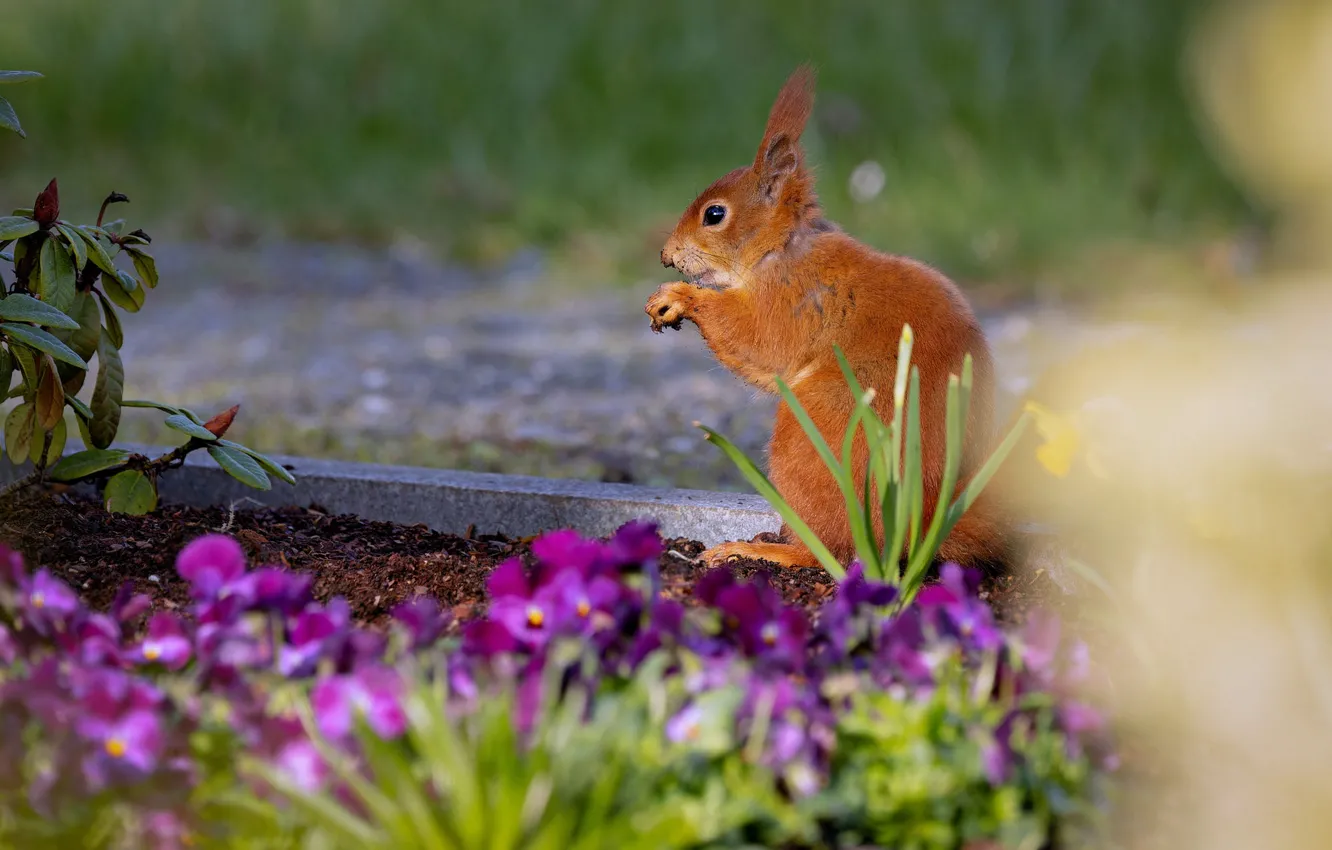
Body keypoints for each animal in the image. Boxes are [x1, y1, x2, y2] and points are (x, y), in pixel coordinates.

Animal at [645, 64, 1012, 573]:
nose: (666, 256)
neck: (782, 249)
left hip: (813, 437)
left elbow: (757, 340)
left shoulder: (790, 302)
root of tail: (913, 525)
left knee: (826, 550)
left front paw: (679, 297)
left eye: (714, 214)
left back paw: (761, 549)